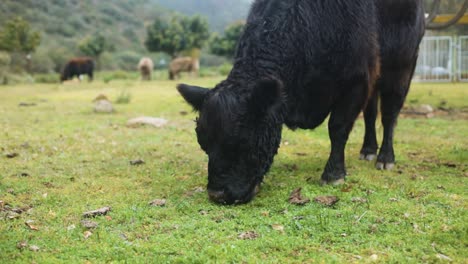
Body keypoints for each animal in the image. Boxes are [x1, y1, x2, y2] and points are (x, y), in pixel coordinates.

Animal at [177, 0, 426, 204]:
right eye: (203, 144)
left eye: (242, 142)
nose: (217, 194)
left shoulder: (357, 80)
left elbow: (337, 128)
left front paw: (333, 174)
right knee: (371, 113)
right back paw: (368, 150)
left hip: (403, 64)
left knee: (390, 114)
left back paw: (385, 158)